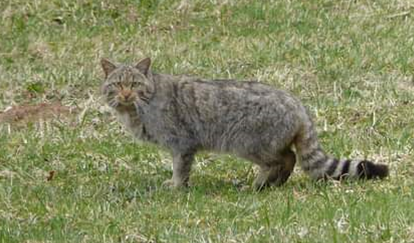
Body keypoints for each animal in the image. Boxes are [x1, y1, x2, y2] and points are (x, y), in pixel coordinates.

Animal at [100, 57, 388, 190]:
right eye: (117, 84)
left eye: (134, 84)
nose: (125, 94)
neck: (137, 110)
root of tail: (297, 105)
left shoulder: (182, 144)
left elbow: (180, 169)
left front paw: (176, 186)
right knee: (289, 159)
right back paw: (272, 184)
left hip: (247, 143)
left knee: (285, 159)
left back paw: (260, 184)